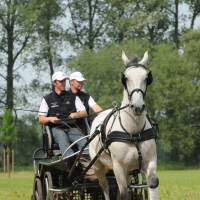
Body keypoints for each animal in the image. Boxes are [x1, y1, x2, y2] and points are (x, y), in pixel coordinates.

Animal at [89, 51, 159, 200]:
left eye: (146, 77)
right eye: (125, 78)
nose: (137, 107)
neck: (134, 133)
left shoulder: (150, 160)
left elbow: (153, 182)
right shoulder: (119, 167)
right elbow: (124, 194)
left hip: (129, 172)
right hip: (98, 166)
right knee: (104, 185)